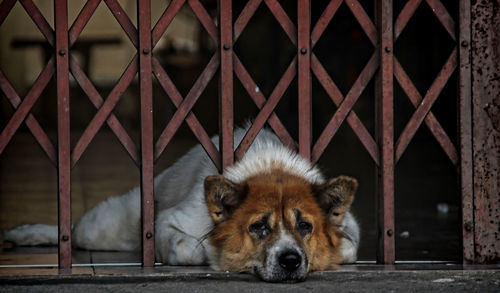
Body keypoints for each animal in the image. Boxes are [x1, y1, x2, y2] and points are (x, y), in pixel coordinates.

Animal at [5, 126, 362, 282]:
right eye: (259, 227)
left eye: (305, 226)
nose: (290, 260)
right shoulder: (169, 220)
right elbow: (190, 248)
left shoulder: (349, 229)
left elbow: (347, 248)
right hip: (101, 228)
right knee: (72, 228)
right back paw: (25, 233)